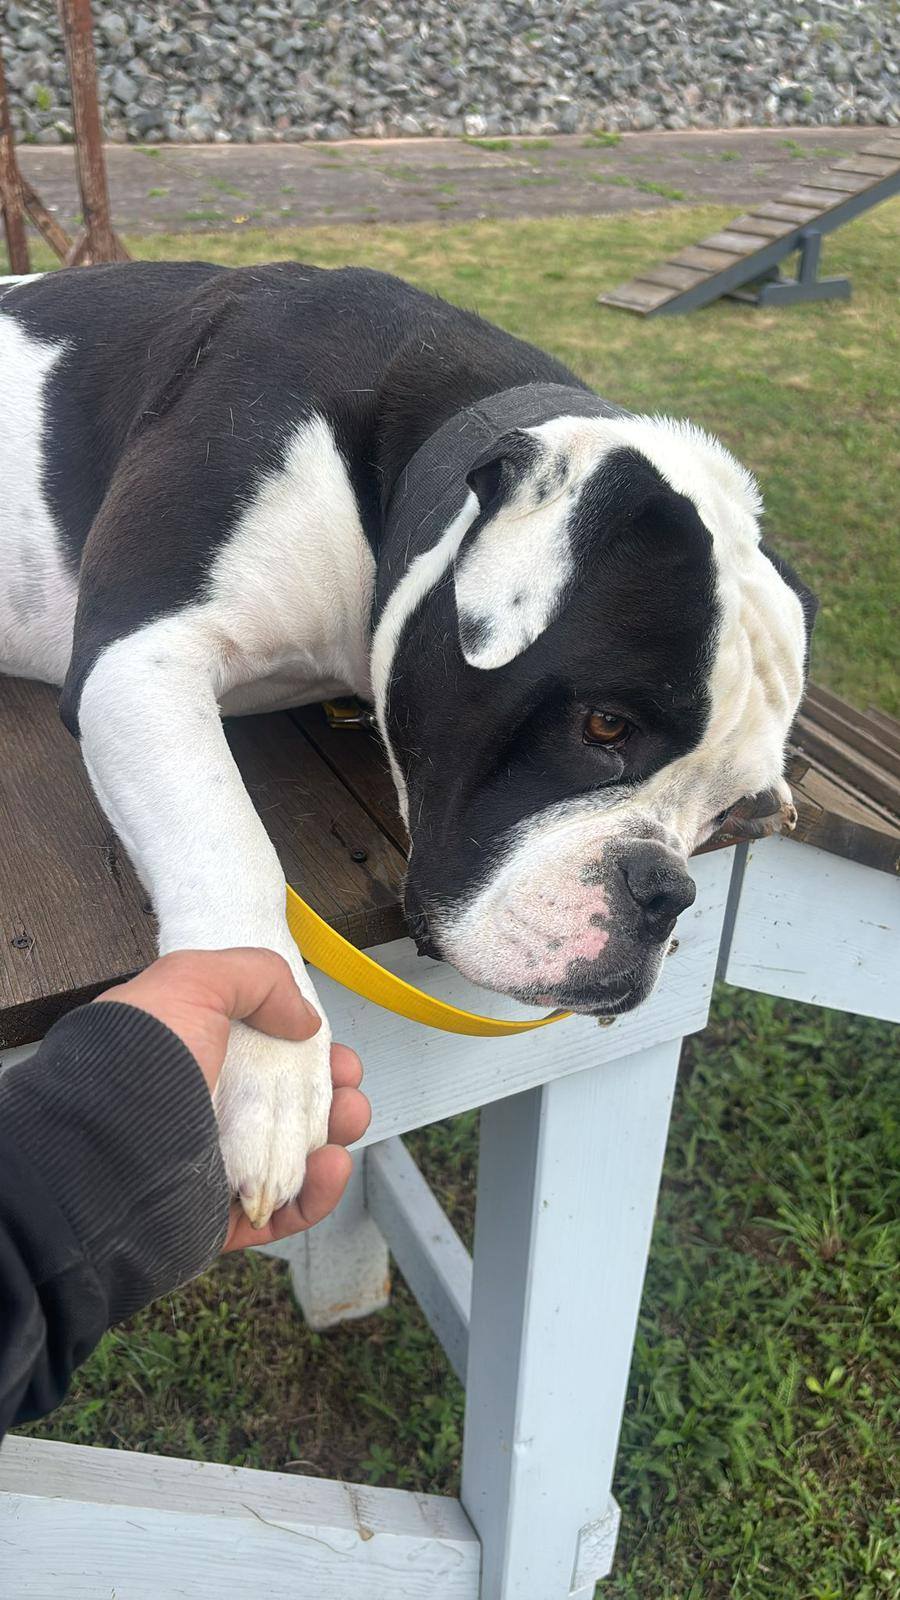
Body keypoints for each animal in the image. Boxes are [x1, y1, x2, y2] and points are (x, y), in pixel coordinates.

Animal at [0, 261, 815, 1226]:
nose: (665, 893)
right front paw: (268, 1058)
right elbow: (224, 835)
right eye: (605, 726)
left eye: (730, 809)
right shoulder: (139, 656)